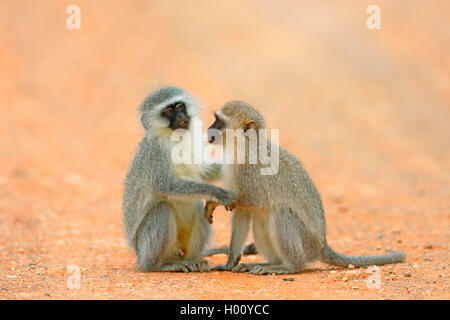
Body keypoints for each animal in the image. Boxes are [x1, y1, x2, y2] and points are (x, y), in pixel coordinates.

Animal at [123, 86, 236, 272]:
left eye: (180, 106)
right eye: (169, 111)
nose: (181, 117)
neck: (174, 138)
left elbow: (203, 172)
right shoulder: (158, 151)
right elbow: (166, 186)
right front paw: (217, 192)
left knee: (198, 207)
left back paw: (194, 259)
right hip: (144, 248)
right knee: (163, 209)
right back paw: (161, 266)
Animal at [208, 102, 408, 276]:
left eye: (219, 121)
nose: (209, 130)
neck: (244, 146)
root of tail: (321, 245)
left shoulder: (247, 171)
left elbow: (248, 201)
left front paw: (215, 201)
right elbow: (243, 211)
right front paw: (230, 263)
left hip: (306, 243)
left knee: (281, 212)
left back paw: (289, 266)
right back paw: (269, 263)